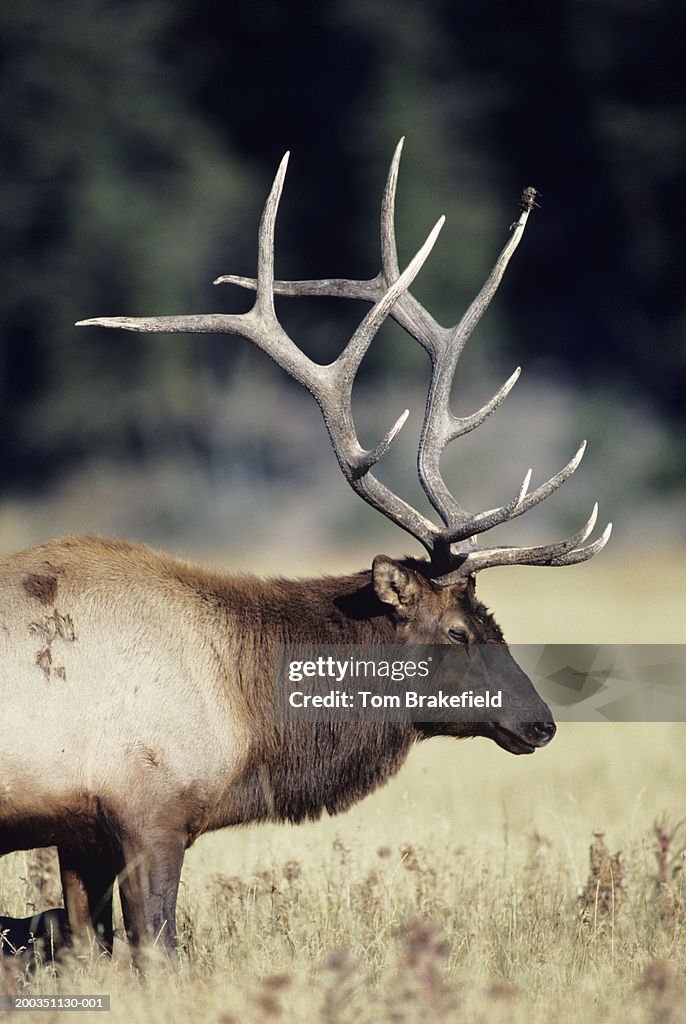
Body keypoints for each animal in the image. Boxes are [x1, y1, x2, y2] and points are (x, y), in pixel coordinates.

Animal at [0, 144, 614, 958]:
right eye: (458, 631)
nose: (540, 721)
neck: (249, 716)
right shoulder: (149, 810)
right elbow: (156, 949)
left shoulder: (78, 832)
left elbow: (83, 946)